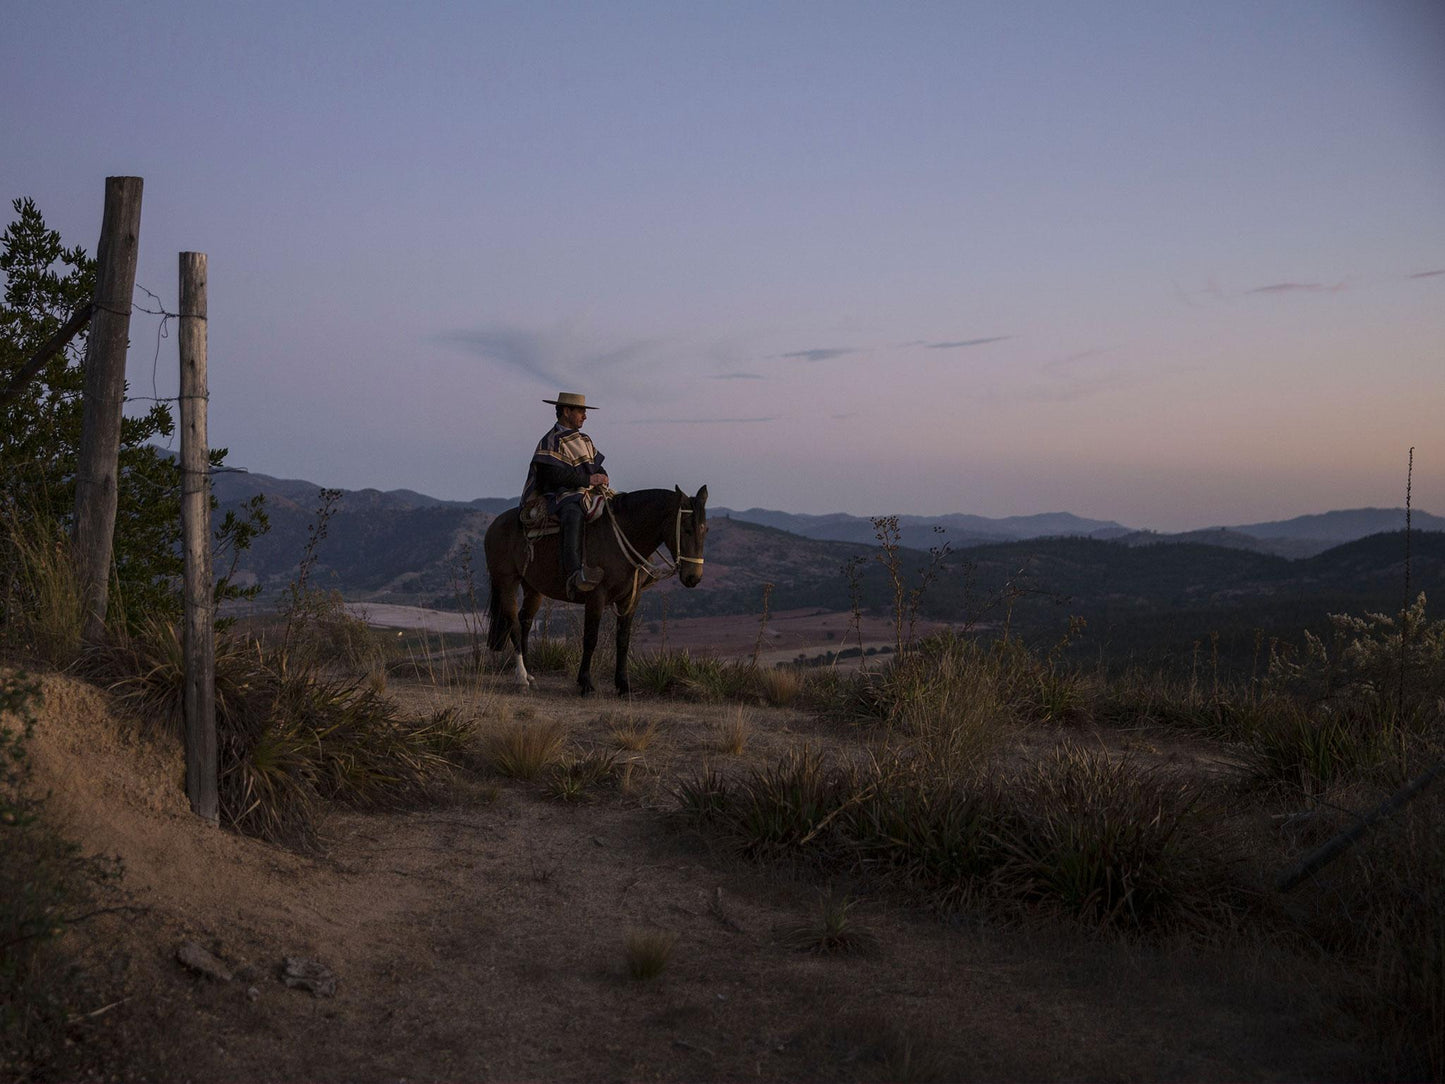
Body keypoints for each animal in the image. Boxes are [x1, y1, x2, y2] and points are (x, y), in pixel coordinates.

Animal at [485, 491, 710, 699]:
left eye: (705, 529)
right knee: (514, 625)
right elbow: (591, 638)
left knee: (525, 622)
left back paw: (530, 676)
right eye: (686, 529)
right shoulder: (596, 597)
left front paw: (623, 685)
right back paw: (522, 678)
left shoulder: (630, 600)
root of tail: (495, 525)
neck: (620, 538)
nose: (694, 577)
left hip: (533, 588)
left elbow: (623, 641)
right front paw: (585, 684)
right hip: (507, 582)